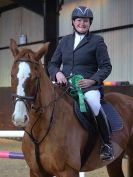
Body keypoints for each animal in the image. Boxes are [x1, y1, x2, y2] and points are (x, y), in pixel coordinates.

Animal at [9, 39, 133, 177]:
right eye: (12, 75)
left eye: (35, 77)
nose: (19, 118)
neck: (40, 130)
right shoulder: (36, 171)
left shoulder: (68, 171)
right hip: (115, 160)